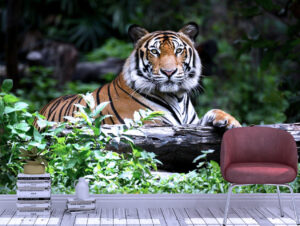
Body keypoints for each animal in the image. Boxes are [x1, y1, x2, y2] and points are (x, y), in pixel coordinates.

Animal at [35, 23, 241, 129]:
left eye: (178, 50)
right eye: (154, 52)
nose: (169, 72)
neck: (177, 97)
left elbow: (213, 111)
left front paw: (230, 121)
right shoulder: (150, 124)